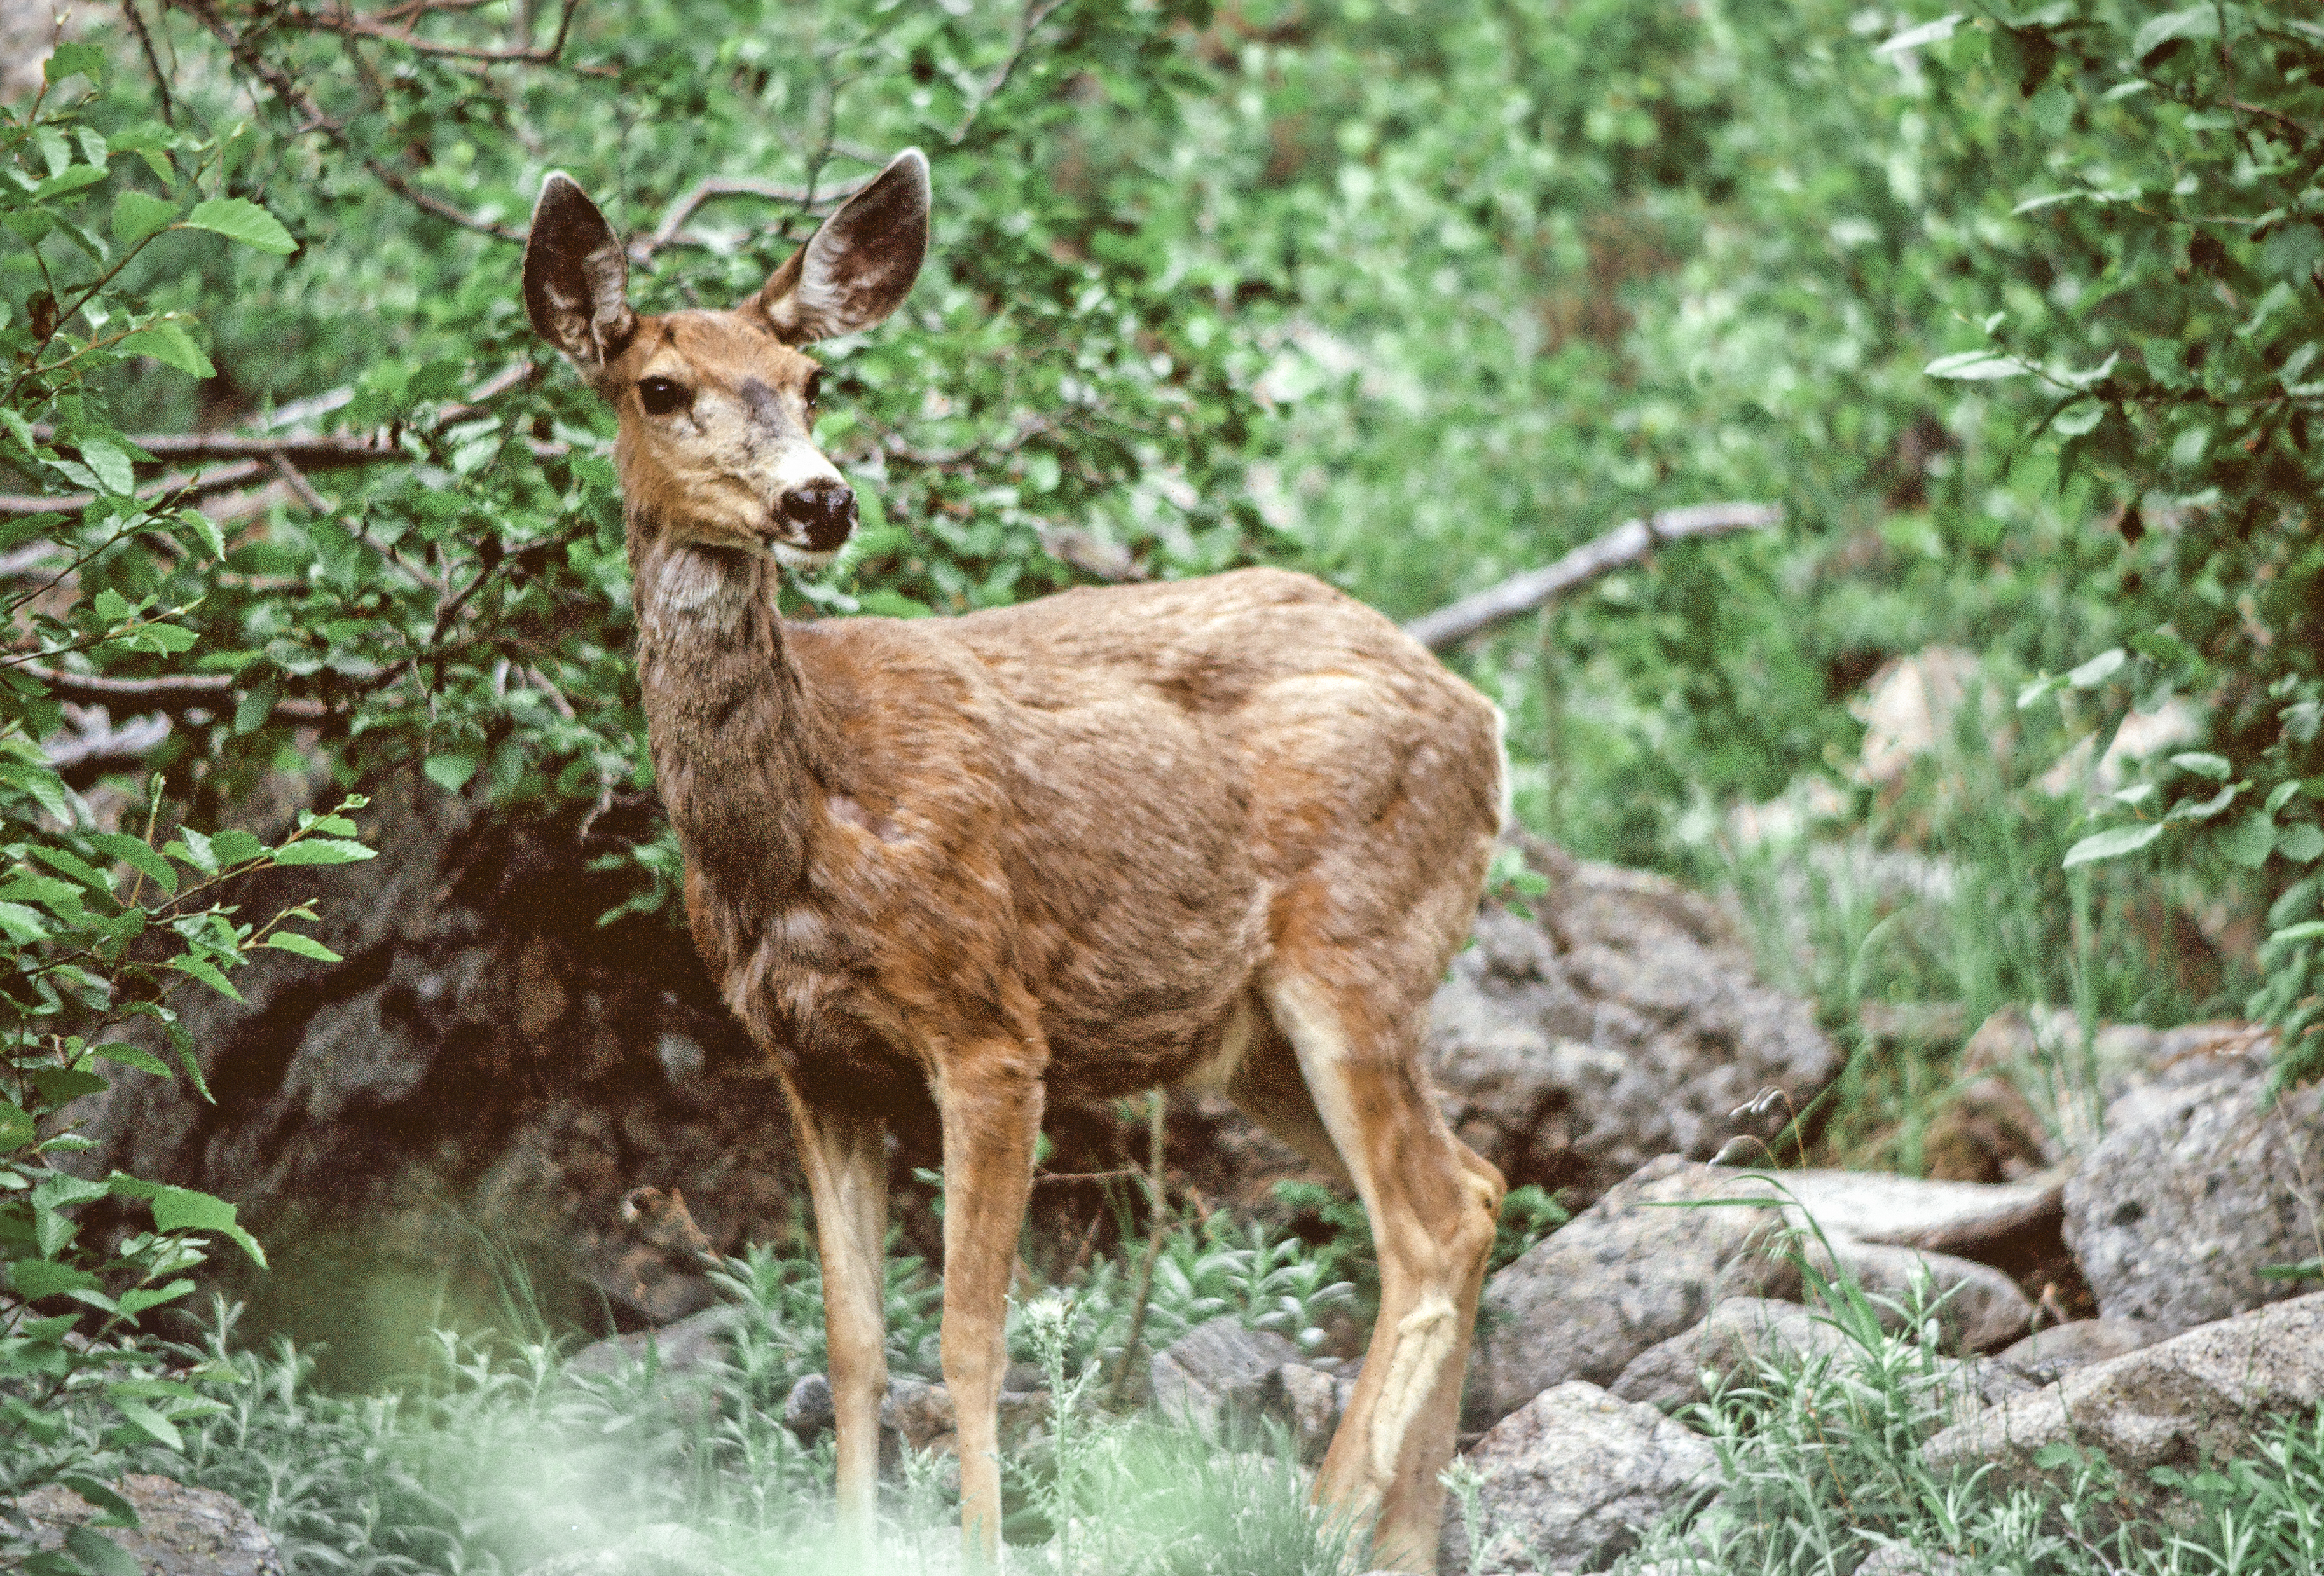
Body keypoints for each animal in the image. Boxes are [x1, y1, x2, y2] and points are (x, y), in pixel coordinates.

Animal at [523, 151, 1506, 1576]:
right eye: (660, 387)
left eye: (813, 380)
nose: (821, 499)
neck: (802, 820)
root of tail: (1487, 725)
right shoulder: (810, 1059)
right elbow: (855, 1342)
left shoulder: (989, 1024)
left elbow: (969, 1340)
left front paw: (978, 1541)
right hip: (1256, 1039)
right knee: (1476, 1187)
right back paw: (1401, 1538)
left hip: (1354, 951)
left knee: (1432, 1222)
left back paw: (1317, 1523)